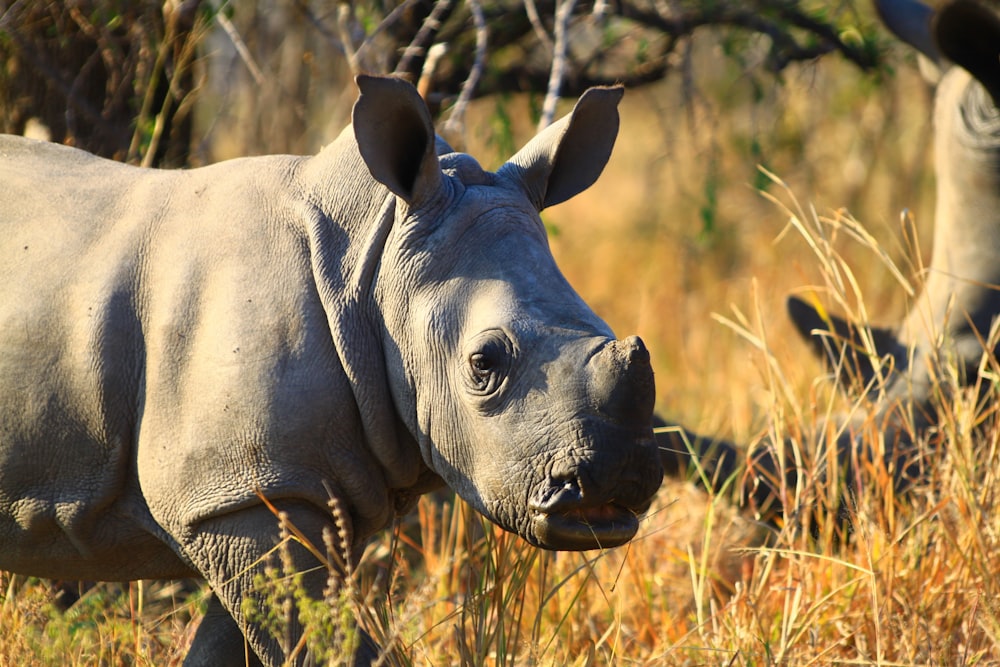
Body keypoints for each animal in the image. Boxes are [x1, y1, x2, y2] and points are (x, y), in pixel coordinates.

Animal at [0, 75, 664, 664]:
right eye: (484, 365)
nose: (611, 483)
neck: (372, 260)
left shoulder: (278, 488)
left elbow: (238, 641)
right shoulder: (241, 492)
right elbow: (322, 642)